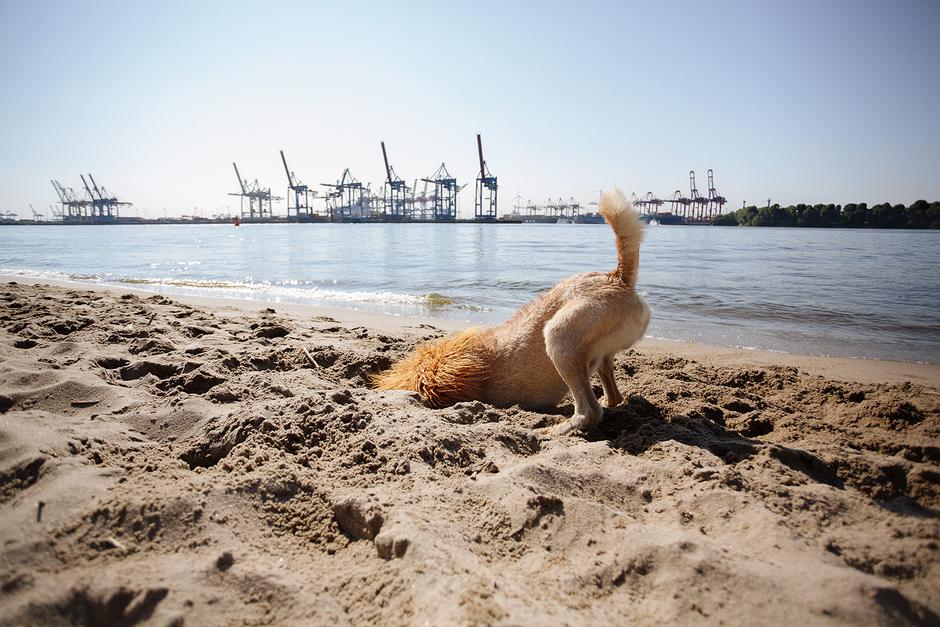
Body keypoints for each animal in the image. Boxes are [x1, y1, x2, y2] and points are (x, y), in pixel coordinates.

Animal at [370, 189, 648, 434]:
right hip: (598, 354)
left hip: (558, 337)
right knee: (612, 395)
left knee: (588, 412)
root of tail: (616, 277)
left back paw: (557, 429)